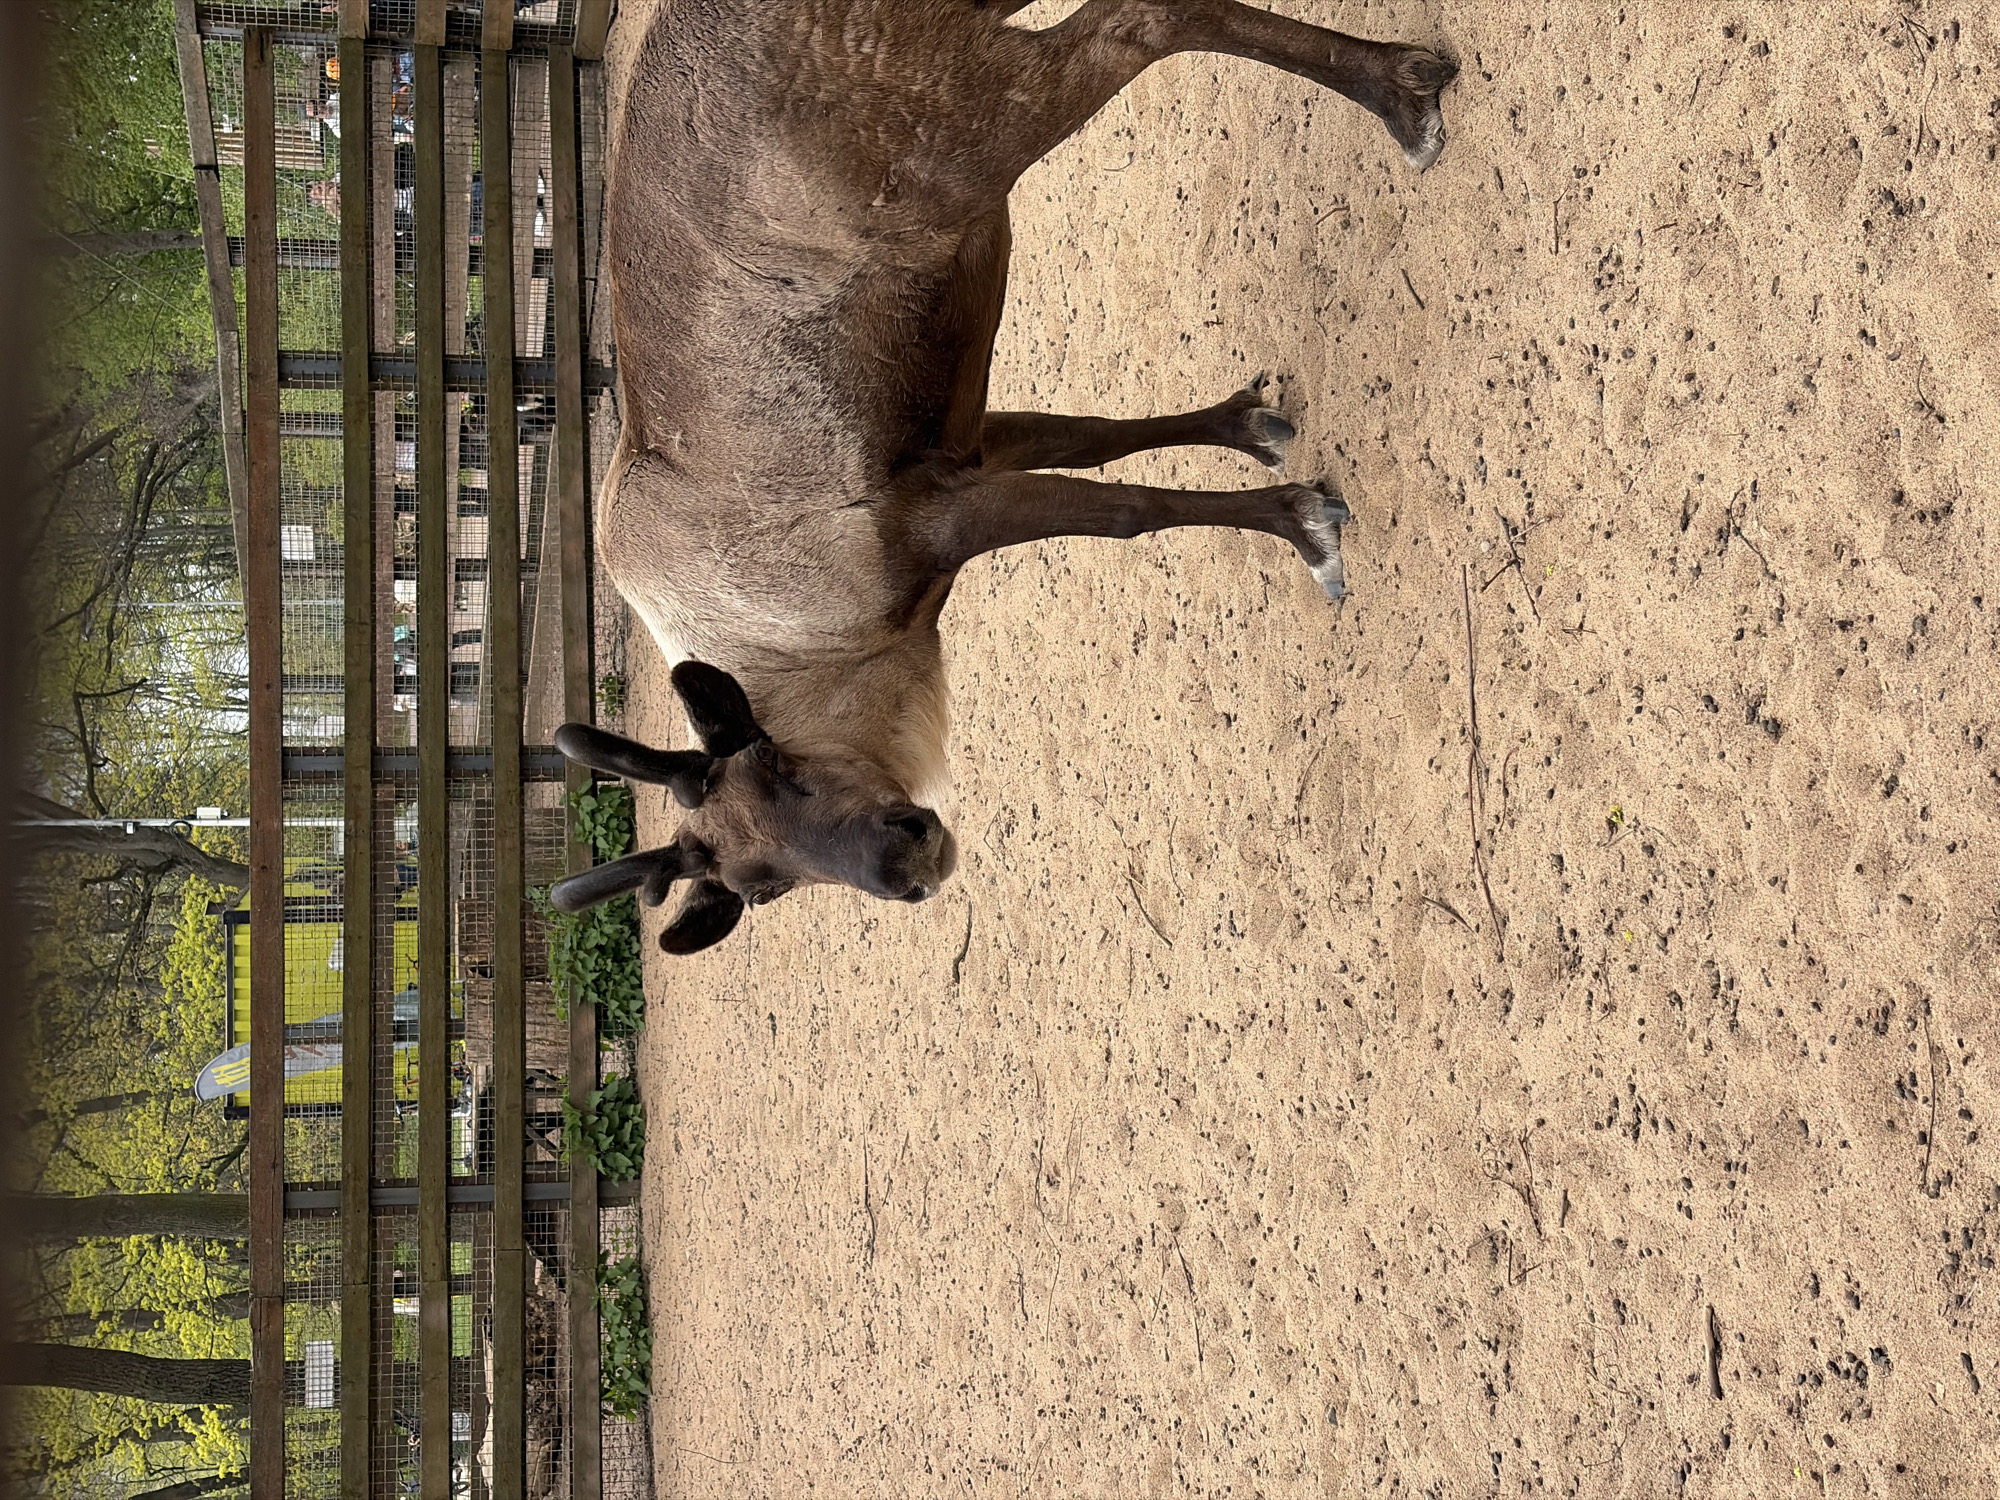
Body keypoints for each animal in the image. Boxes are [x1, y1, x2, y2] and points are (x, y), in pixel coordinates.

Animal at [550, 0, 1459, 953]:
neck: (807, 653)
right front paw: (1249, 425)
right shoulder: (965, 449)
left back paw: (1401, 97)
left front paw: (1304, 521)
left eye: (779, 766)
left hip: (966, 128)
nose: (903, 863)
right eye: (761, 890)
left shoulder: (929, 521)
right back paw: (1405, 77)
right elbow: (1097, 439)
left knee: (1141, 24)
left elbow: (1127, 511)